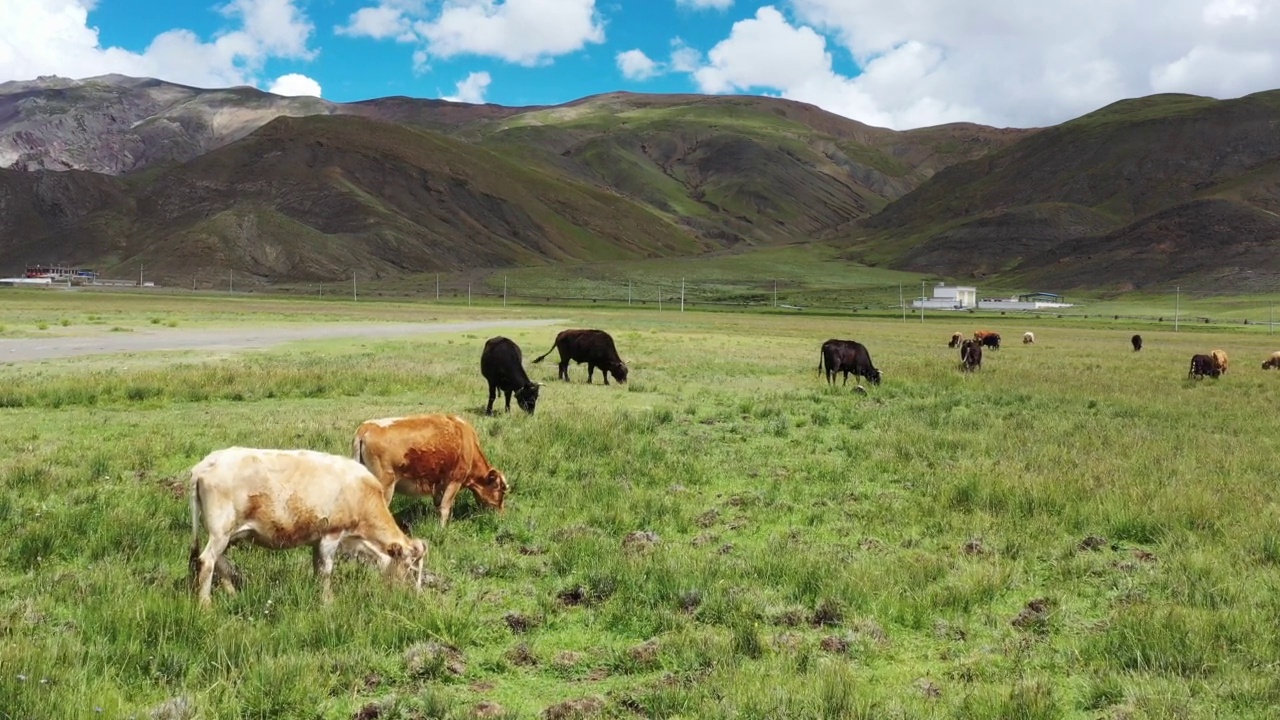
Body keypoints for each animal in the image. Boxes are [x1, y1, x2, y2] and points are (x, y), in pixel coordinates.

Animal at [186, 448, 424, 604]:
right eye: (411, 568)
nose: (414, 597)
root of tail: (207, 463)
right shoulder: (331, 535)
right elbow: (326, 571)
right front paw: (328, 602)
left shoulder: (317, 540)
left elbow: (317, 569)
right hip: (220, 531)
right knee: (207, 561)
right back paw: (205, 605)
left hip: (225, 535)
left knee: (219, 561)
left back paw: (232, 594)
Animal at [355, 412, 509, 525]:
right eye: (501, 490)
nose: (502, 515)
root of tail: (367, 427)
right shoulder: (455, 480)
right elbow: (445, 507)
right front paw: (443, 529)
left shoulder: (439, 484)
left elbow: (438, 505)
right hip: (385, 486)